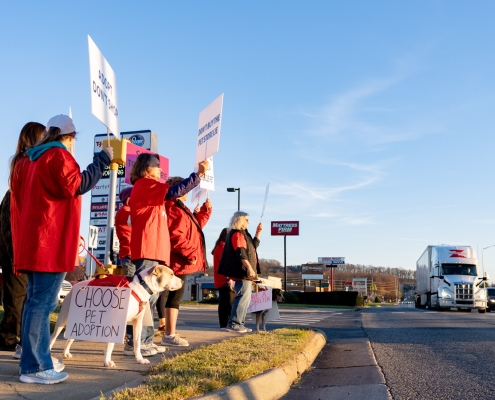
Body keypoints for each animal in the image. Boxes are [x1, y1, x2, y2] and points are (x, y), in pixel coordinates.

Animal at [49, 268, 182, 368]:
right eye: (171, 274)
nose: (182, 281)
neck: (142, 286)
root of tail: (75, 286)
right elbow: (111, 345)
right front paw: (107, 361)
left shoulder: (137, 323)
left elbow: (137, 343)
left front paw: (139, 359)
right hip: (62, 320)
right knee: (52, 338)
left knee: (70, 338)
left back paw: (66, 353)